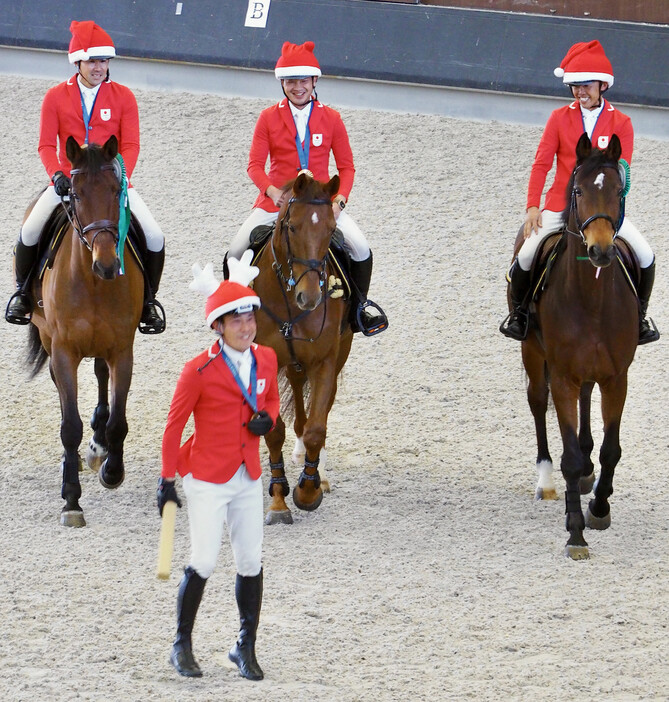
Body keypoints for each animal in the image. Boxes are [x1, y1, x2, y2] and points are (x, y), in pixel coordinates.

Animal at [25, 135, 145, 528]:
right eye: (75, 194)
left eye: (115, 190)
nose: (106, 264)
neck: (93, 283)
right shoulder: (64, 350)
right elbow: (70, 426)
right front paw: (71, 501)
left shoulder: (122, 349)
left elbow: (119, 421)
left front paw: (111, 471)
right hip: (49, 338)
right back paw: (74, 458)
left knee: (100, 375)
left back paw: (97, 445)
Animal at [252, 170, 354, 524]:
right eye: (293, 227)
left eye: (331, 229)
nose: (309, 298)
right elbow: (274, 431)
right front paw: (279, 500)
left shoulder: (324, 361)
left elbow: (316, 429)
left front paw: (308, 490)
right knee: (297, 393)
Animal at [516, 132, 640, 560]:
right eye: (578, 190)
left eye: (618, 190)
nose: (601, 250)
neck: (591, 298)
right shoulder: (563, 376)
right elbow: (568, 455)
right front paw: (575, 532)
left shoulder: (617, 377)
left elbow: (610, 450)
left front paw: (599, 507)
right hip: (533, 353)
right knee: (538, 402)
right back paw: (547, 480)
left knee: (588, 403)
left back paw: (588, 476)